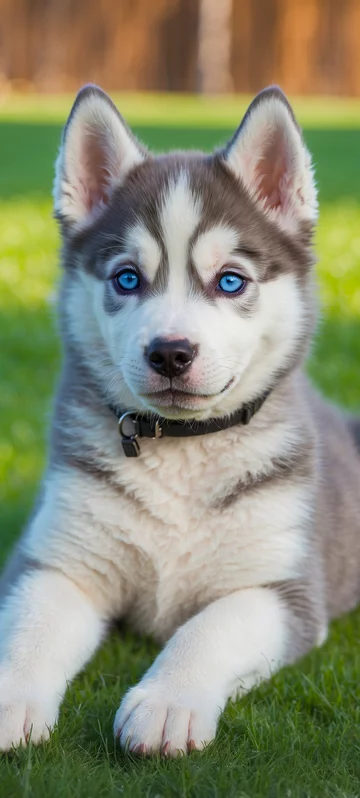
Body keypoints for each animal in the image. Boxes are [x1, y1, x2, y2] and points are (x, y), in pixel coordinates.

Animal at [0, 84, 360, 760]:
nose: (170, 352)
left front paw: (168, 702)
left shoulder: (284, 588)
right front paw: (10, 695)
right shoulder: (58, 562)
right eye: (126, 278)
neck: (181, 451)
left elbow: (211, 627)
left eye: (230, 281)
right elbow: (30, 629)